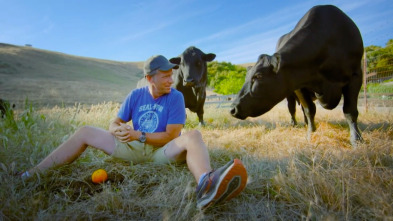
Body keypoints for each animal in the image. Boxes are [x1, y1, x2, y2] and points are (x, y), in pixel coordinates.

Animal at [231, 4, 362, 147]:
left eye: (258, 76)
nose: (233, 108)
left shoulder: (356, 76)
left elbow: (350, 110)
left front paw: (356, 139)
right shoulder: (298, 85)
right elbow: (309, 110)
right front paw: (311, 134)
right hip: (290, 95)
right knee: (293, 109)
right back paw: (295, 124)